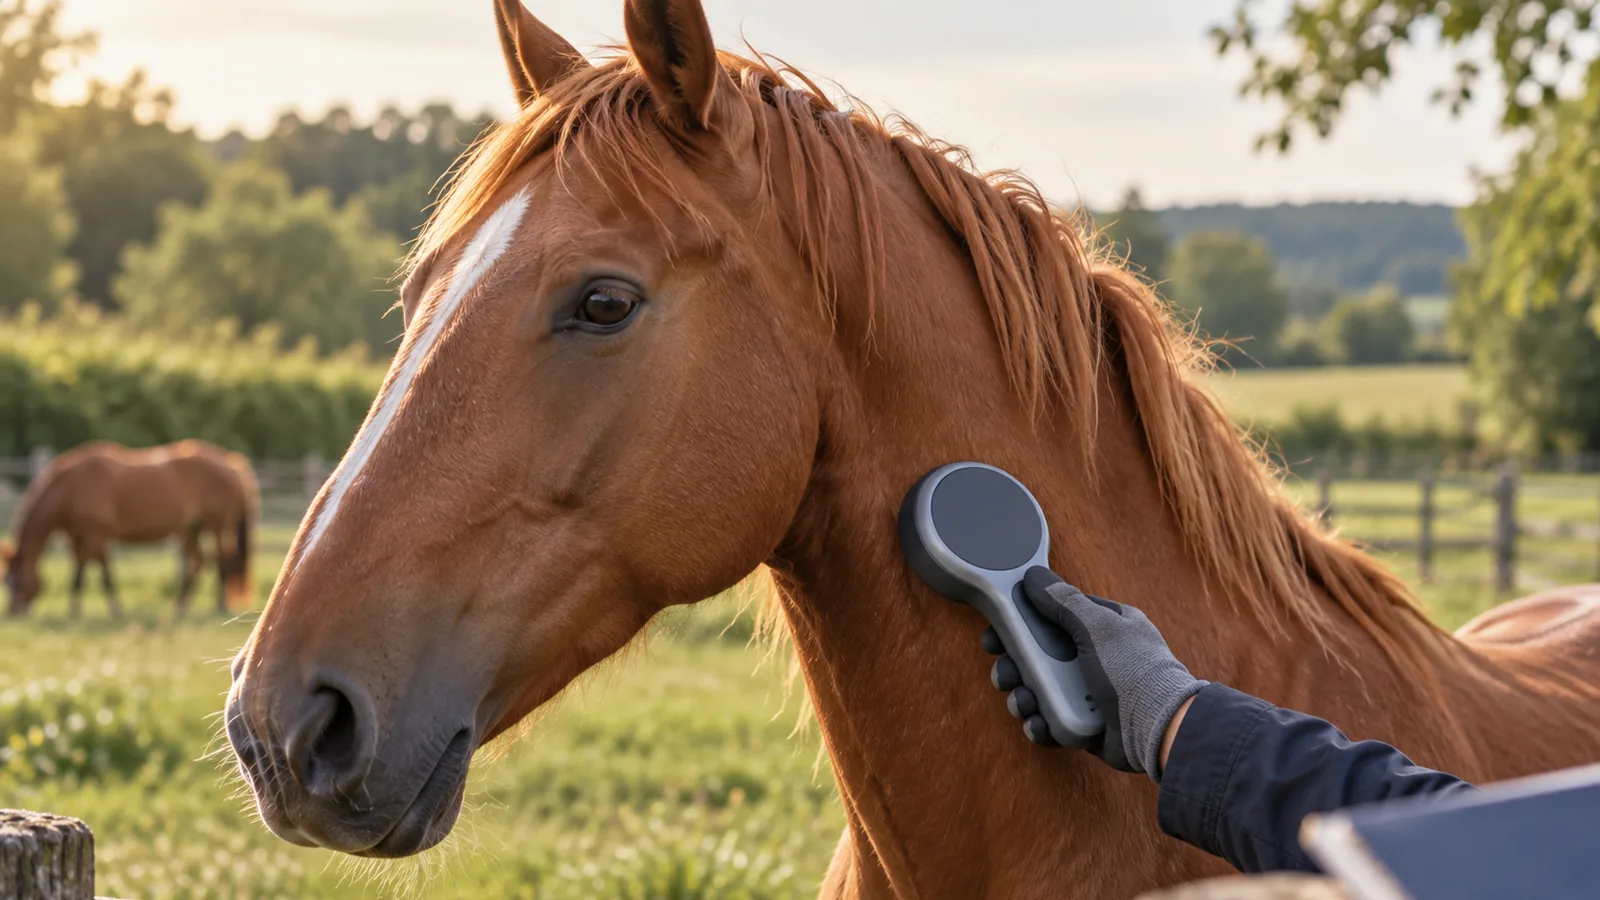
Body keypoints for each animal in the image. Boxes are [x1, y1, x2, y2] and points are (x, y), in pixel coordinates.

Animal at [3, 439, 258, 618]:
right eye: (5, 580)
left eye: (17, 581)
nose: (13, 611)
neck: (74, 486)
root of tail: (231, 463)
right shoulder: (77, 538)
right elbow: (80, 571)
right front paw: (75, 608)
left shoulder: (96, 536)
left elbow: (102, 573)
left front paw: (109, 609)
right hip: (190, 529)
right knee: (197, 563)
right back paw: (180, 606)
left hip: (216, 525)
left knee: (221, 560)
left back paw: (219, 604)